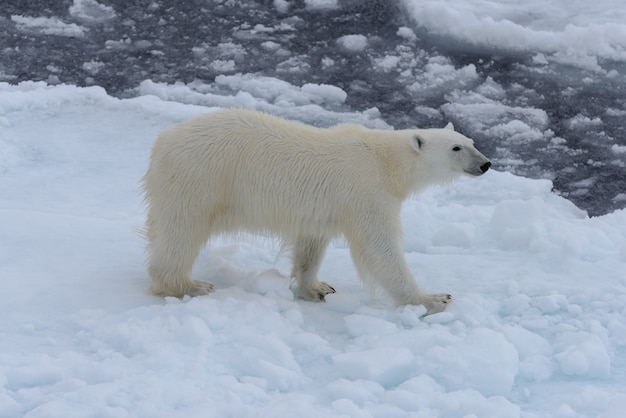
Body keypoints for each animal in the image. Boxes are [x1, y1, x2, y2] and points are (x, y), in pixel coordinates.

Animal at [143, 108, 492, 314]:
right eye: (456, 148)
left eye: (471, 140)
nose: (486, 164)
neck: (387, 162)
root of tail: (162, 142)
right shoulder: (366, 191)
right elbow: (380, 248)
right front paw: (433, 299)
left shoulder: (323, 207)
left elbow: (311, 245)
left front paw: (316, 288)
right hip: (200, 179)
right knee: (182, 231)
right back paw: (189, 285)